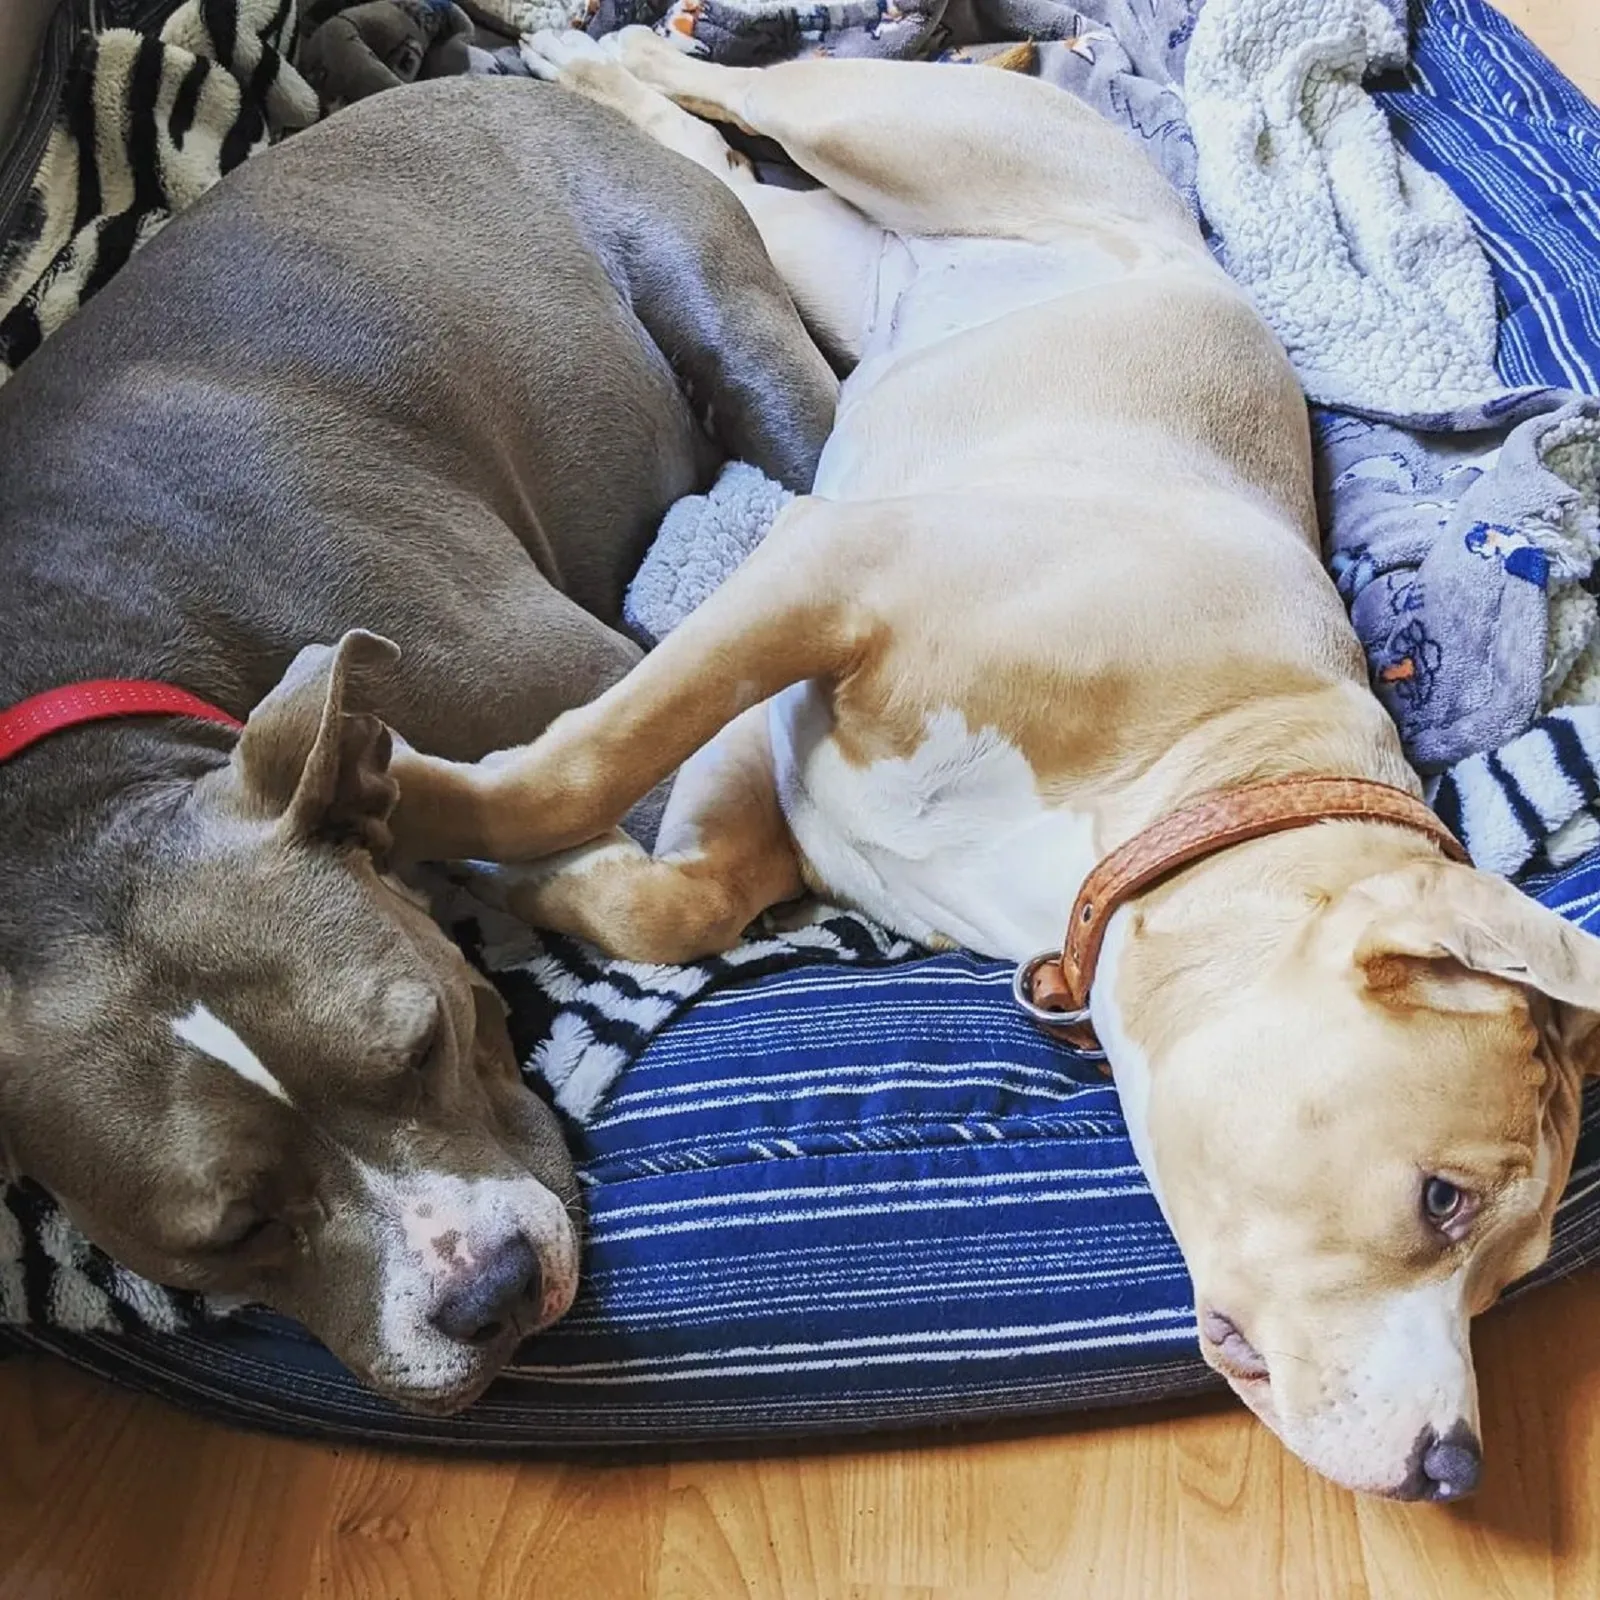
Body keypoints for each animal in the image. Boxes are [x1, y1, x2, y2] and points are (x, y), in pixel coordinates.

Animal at [0, 75, 832, 1408]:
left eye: (423, 1042)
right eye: (229, 1231)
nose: (488, 1292)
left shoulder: (599, 690)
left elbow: (675, 876)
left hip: (724, 314)